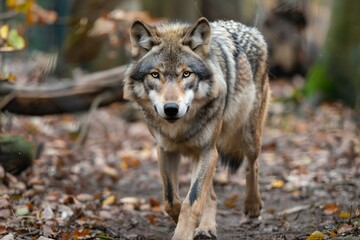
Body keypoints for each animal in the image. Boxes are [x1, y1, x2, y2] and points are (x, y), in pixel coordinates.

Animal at [124, 17, 270, 240]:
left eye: (186, 74)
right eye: (155, 75)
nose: (171, 108)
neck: (179, 129)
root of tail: (251, 30)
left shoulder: (208, 150)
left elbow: (191, 201)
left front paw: (183, 233)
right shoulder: (165, 150)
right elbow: (171, 200)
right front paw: (185, 225)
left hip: (249, 138)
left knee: (252, 164)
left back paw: (252, 205)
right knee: (211, 195)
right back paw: (206, 228)